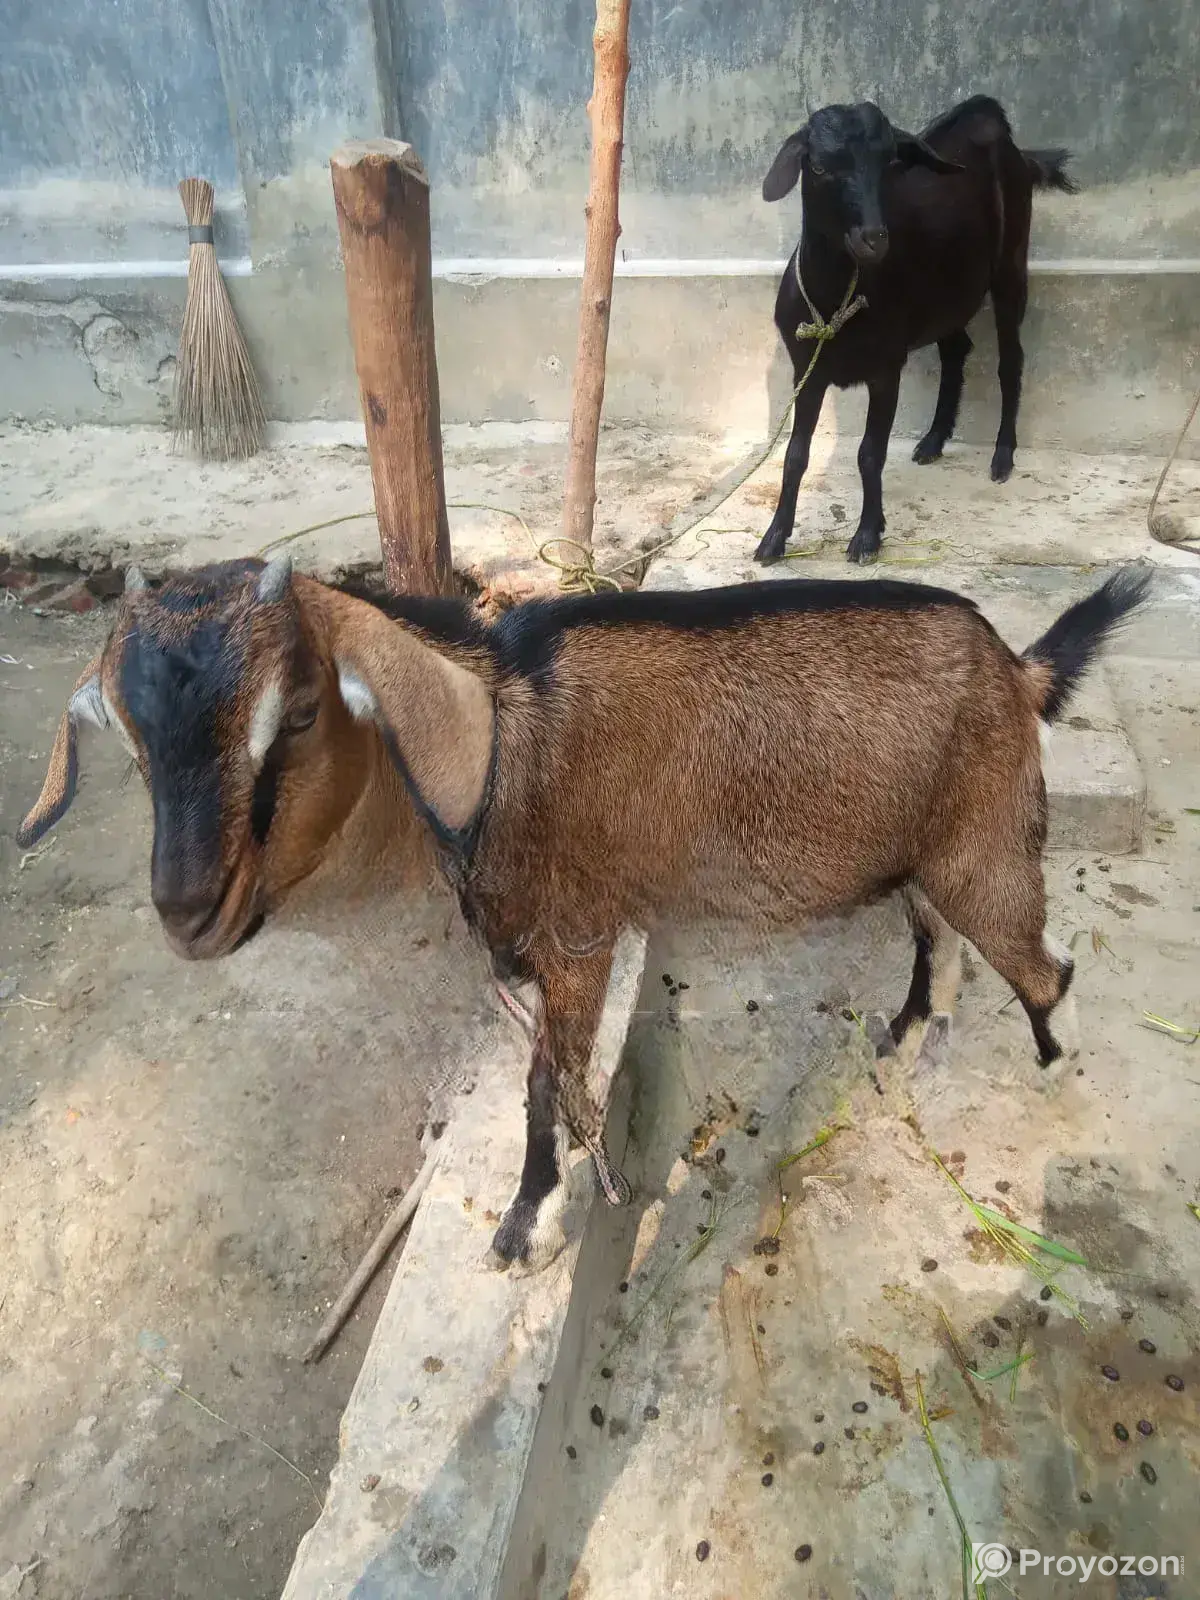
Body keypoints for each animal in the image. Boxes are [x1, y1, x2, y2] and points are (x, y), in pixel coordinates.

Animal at [18, 556, 1148, 1272]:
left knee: (1040, 962)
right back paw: (911, 1041)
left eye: (296, 714)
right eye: (132, 745)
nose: (189, 911)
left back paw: (1051, 1073)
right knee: (939, 939)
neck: (490, 751)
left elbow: (543, 1083)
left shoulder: (578, 933)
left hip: (990, 836)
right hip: (925, 850)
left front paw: (526, 1225)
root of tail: (1020, 669)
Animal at [755, 96, 1076, 566]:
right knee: (957, 348)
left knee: (1010, 360)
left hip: (1010, 265)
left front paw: (867, 536)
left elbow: (870, 454)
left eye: (889, 162)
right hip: (948, 295)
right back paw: (933, 440)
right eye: (817, 166)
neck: (837, 302)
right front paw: (773, 538)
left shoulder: (886, 369)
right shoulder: (807, 371)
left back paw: (1002, 456)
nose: (873, 238)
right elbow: (795, 454)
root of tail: (991, 123)